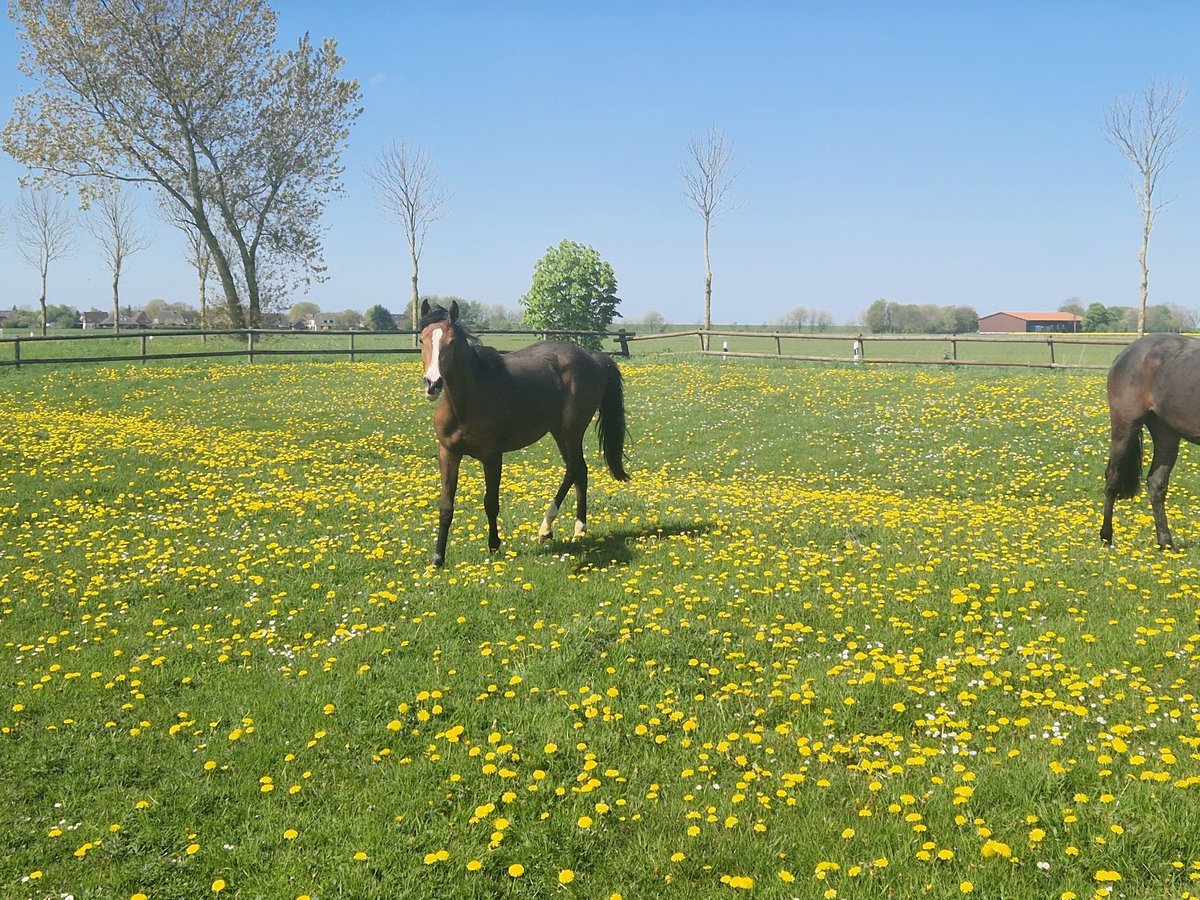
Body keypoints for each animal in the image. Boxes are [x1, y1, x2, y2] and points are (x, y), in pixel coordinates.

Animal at [417, 303, 633, 571]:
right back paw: (577, 530)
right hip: (559, 431)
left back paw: (548, 528)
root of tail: (593, 358)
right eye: (422, 339)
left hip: (572, 429)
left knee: (574, 469)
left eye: (452, 341)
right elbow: (446, 506)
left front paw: (494, 546)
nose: (432, 383)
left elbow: (490, 502)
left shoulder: (492, 456)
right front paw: (437, 559)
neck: (466, 403)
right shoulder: (449, 453)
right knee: (579, 470)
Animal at [1099, 336, 1200, 549]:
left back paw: (1166, 543)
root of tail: (1125, 353)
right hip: (1125, 426)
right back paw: (1106, 536)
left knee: (1156, 483)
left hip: (1166, 433)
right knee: (1112, 477)